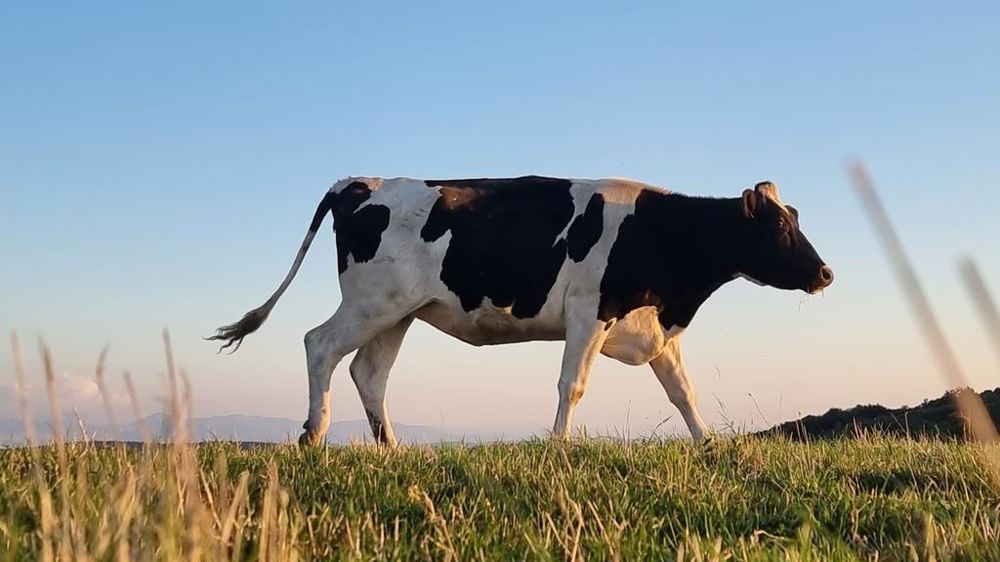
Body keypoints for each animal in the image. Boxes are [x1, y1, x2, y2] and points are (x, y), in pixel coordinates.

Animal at [210, 176, 833, 446]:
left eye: (797, 219)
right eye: (780, 226)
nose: (826, 273)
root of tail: (362, 182)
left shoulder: (653, 324)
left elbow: (683, 391)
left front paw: (709, 444)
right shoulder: (589, 312)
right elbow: (572, 384)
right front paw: (559, 446)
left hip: (398, 311)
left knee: (369, 372)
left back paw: (392, 451)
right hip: (370, 302)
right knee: (319, 345)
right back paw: (314, 437)